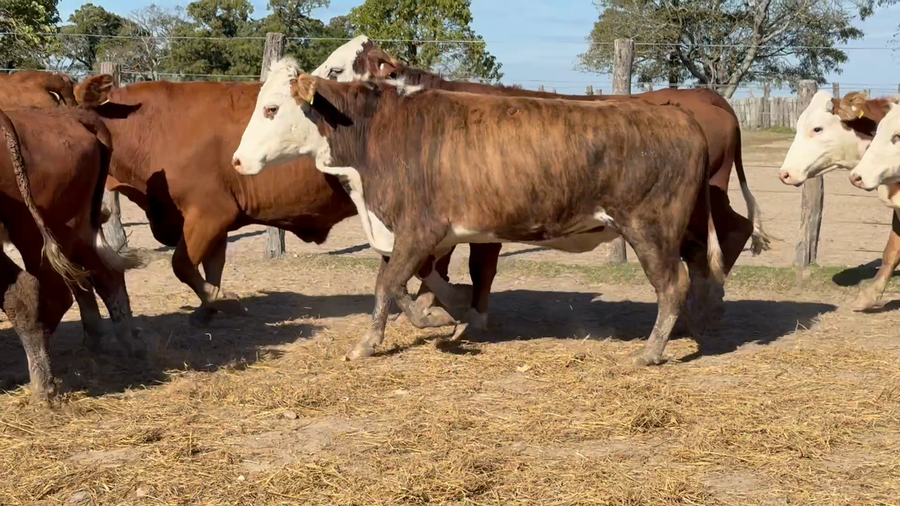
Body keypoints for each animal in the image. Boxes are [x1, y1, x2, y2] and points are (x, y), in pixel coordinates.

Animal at [0, 78, 142, 402]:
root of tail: (72, 117)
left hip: (35, 232)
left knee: (47, 291)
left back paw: (42, 383)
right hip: (72, 230)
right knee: (102, 275)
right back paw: (125, 346)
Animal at [73, 75, 473, 325]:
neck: (154, 127)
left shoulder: (208, 214)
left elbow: (183, 265)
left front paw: (222, 299)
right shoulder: (218, 221)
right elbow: (212, 266)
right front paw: (208, 307)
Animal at [231, 60, 726, 366]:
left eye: (271, 108)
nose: (237, 160)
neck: (377, 133)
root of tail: (679, 117)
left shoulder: (419, 227)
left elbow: (388, 284)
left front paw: (375, 341)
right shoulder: (425, 235)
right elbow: (418, 280)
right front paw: (449, 313)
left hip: (650, 228)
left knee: (673, 285)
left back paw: (651, 351)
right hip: (685, 229)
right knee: (703, 274)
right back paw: (701, 328)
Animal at [309, 35, 769, 330]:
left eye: (337, 66)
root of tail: (706, 97)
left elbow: (474, 266)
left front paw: (467, 314)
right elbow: (431, 265)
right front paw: (438, 307)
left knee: (724, 237)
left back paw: (707, 307)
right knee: (725, 235)